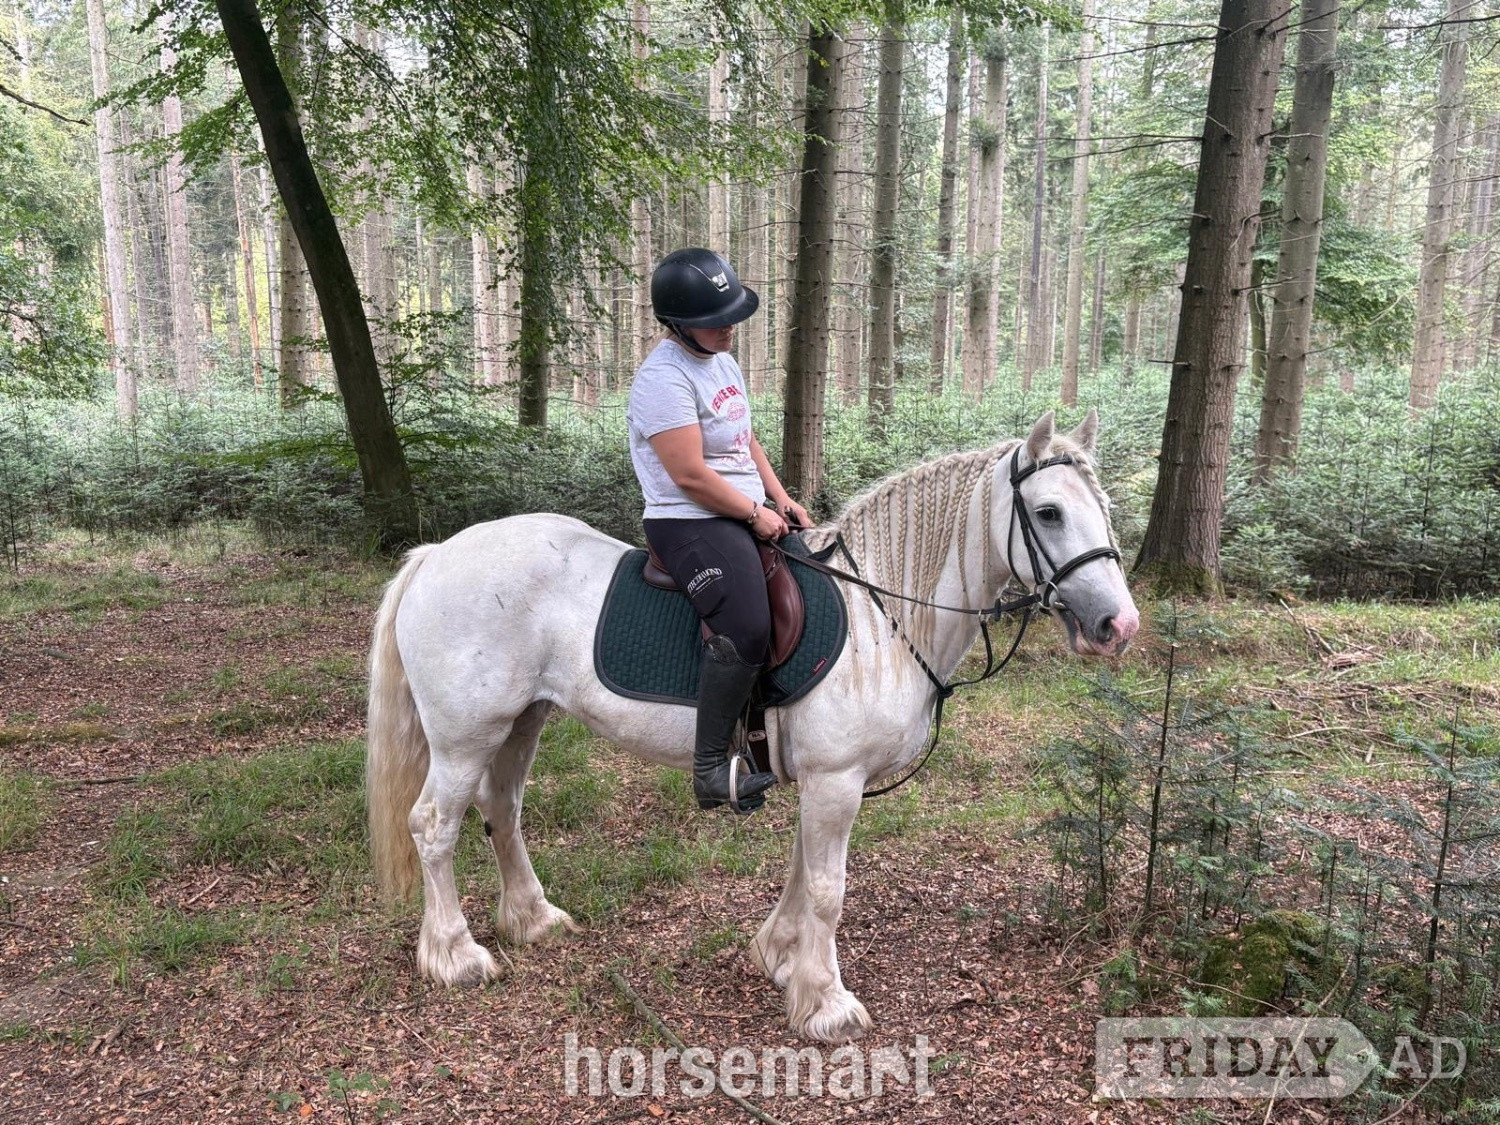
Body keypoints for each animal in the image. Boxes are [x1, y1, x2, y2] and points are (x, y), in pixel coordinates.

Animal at [366, 409, 1140, 1043]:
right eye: (1048, 512)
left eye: (1102, 509)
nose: (1118, 625)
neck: (880, 617)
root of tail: (438, 554)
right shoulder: (836, 779)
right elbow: (829, 889)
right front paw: (825, 1002)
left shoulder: (825, 781)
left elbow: (803, 868)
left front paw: (780, 956)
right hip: (466, 734)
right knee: (434, 825)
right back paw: (455, 954)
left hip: (521, 720)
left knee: (502, 809)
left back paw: (531, 919)